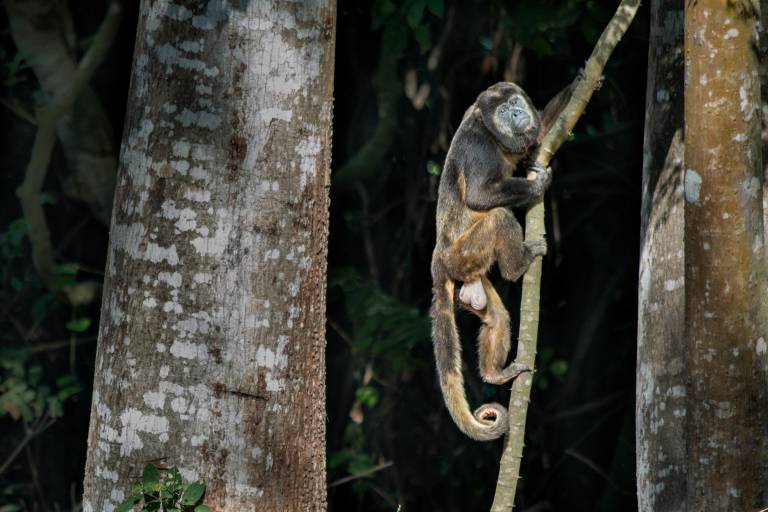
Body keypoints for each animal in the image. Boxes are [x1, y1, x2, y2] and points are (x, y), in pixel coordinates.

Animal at [430, 81, 574, 441]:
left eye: (515, 102)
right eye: (504, 111)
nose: (517, 113)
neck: (490, 128)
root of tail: (438, 259)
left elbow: (543, 129)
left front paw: (582, 79)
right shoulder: (480, 145)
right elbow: (479, 195)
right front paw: (538, 184)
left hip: (471, 273)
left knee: (496, 318)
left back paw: (494, 374)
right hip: (463, 254)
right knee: (498, 216)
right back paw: (518, 265)